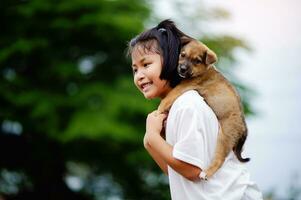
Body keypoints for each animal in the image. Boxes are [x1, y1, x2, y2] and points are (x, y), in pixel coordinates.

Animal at [157, 38, 248, 180]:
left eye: (197, 61)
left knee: (219, 160)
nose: (182, 69)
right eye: (182, 55)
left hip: (224, 137)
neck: (204, 71)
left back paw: (207, 173)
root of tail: (244, 128)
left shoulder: (184, 86)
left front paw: (158, 110)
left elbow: (168, 97)